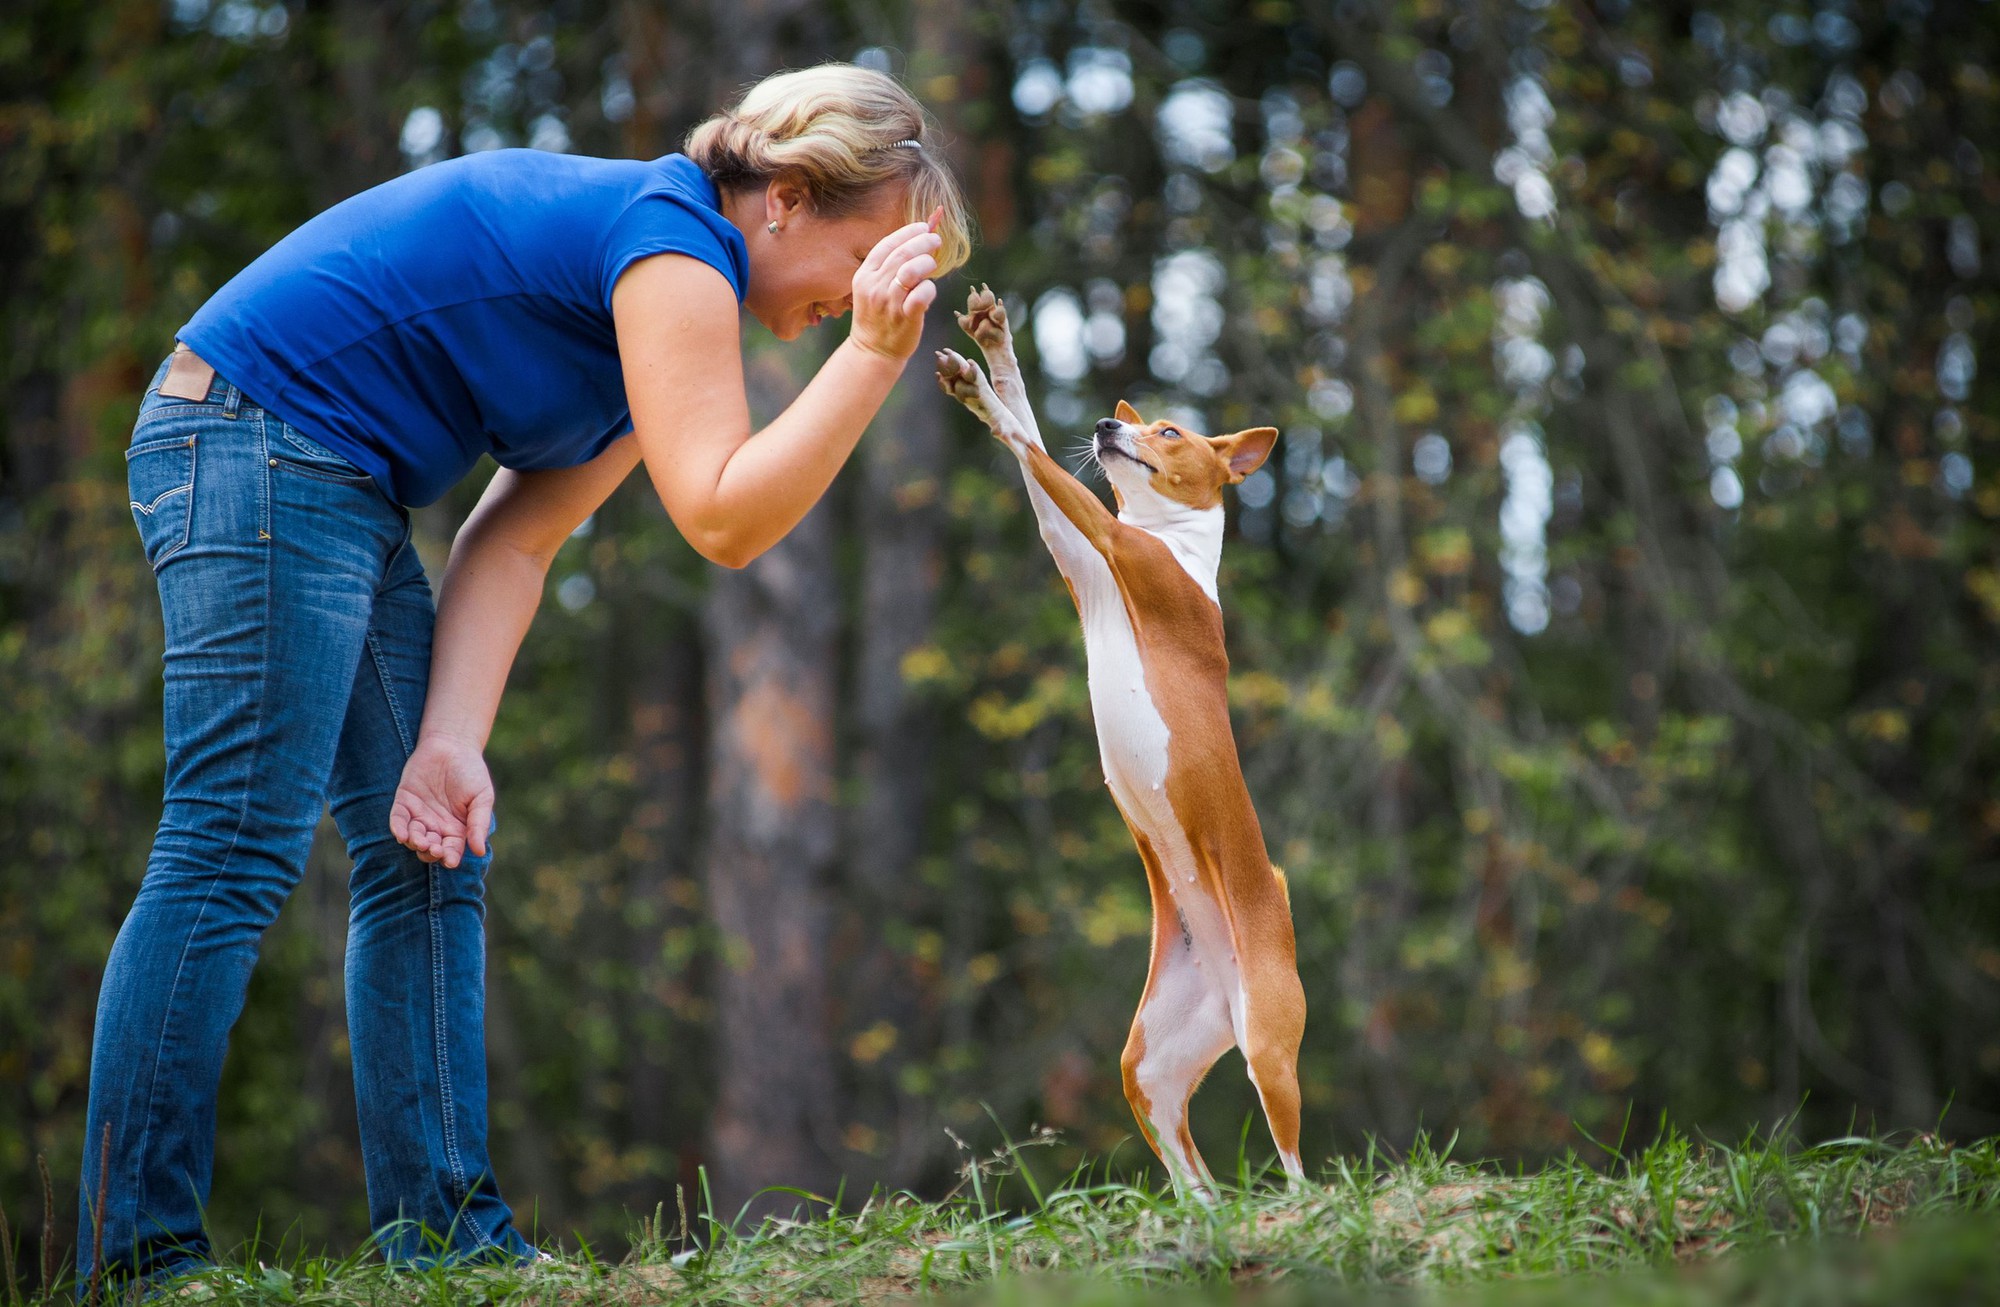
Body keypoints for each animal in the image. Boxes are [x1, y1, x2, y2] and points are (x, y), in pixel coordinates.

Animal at [940, 287, 1312, 1199]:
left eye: (1171, 433)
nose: (1111, 428)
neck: (1169, 540)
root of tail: (1229, 982)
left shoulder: (1117, 548)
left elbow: (1026, 441)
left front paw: (980, 393)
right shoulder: (1080, 554)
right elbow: (1035, 441)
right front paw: (994, 347)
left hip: (1269, 1045)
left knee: (1298, 1164)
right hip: (1149, 1065)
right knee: (1193, 1168)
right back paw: (1200, 1213)